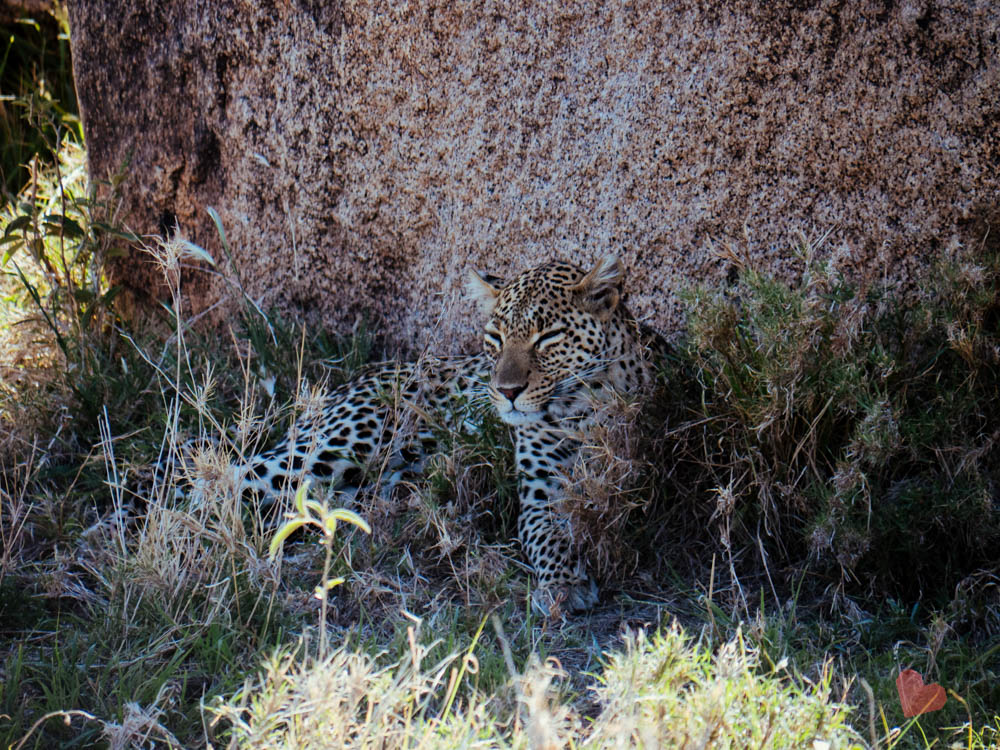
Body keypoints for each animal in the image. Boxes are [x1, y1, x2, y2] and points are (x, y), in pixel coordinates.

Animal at [232, 256, 664, 612]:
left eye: (547, 338)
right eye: (495, 339)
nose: (507, 391)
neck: (579, 408)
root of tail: (344, 386)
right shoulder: (541, 489)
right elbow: (547, 536)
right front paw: (562, 584)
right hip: (339, 445)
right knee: (235, 480)